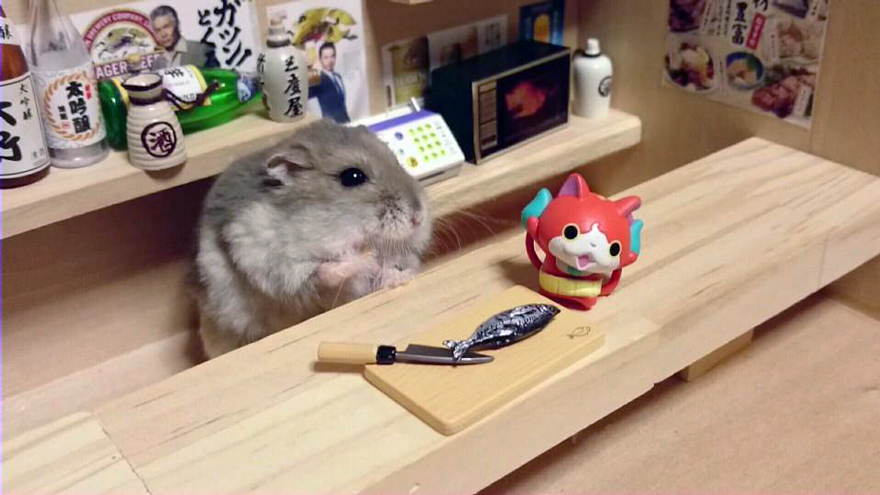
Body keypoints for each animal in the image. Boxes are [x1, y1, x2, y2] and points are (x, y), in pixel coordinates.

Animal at [192, 119, 432, 359]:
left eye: (396, 159)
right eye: (352, 176)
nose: (418, 217)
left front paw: (400, 276)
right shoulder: (268, 259)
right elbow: (323, 272)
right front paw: (366, 258)